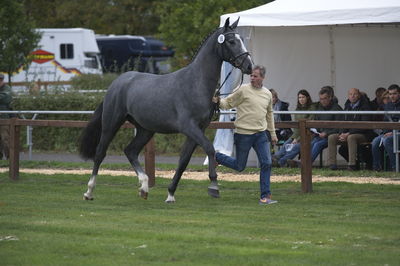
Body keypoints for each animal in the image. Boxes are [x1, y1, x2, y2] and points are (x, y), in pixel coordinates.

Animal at [79, 17, 253, 203]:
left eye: (242, 39)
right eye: (231, 41)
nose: (249, 66)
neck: (195, 83)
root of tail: (117, 83)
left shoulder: (199, 129)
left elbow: (183, 161)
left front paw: (170, 194)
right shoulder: (189, 127)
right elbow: (210, 148)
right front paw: (213, 186)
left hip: (145, 130)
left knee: (130, 151)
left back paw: (144, 188)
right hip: (112, 123)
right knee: (100, 152)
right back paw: (89, 192)